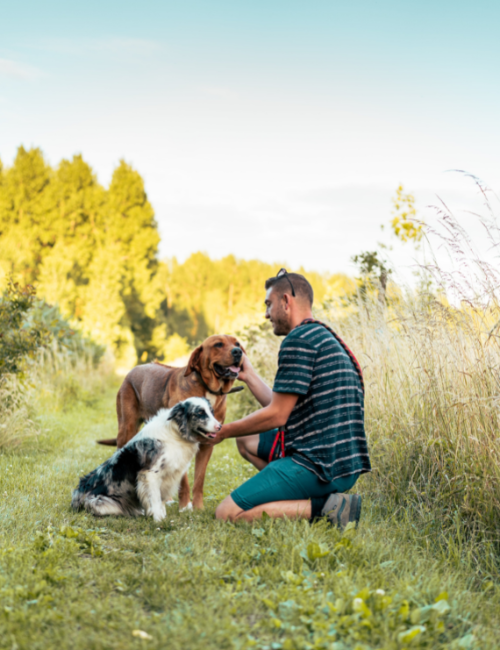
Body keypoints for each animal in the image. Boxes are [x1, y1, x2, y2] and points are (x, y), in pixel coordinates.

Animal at [96, 336, 244, 508]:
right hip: (126, 429)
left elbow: (199, 480)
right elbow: (184, 481)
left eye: (237, 343)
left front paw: (198, 507)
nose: (238, 352)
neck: (209, 389)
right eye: (218, 344)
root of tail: (134, 369)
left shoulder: (207, 444)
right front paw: (185, 506)